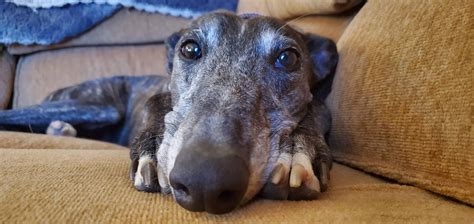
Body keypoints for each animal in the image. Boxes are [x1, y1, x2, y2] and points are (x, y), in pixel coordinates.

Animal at [1, 11, 338, 214]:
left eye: (288, 58)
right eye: (189, 49)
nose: (205, 182)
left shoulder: (319, 105)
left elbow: (317, 108)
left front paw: (295, 152)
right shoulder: (159, 95)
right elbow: (159, 104)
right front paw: (151, 148)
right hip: (98, 107)